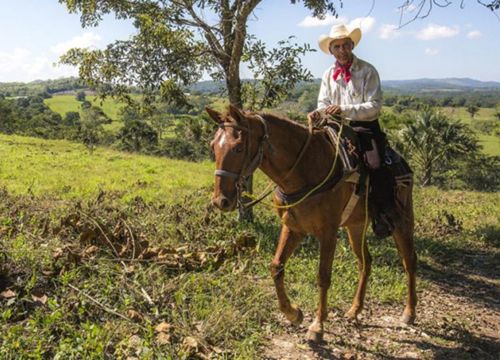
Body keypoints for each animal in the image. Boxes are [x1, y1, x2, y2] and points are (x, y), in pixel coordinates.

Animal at [205, 105, 416, 342]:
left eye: (239, 148)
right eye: (213, 146)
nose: (221, 201)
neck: (304, 169)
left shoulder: (328, 232)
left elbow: (323, 276)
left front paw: (317, 326)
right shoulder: (293, 227)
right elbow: (276, 266)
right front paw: (293, 313)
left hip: (402, 220)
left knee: (409, 261)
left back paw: (409, 313)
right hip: (356, 225)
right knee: (365, 262)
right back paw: (354, 310)